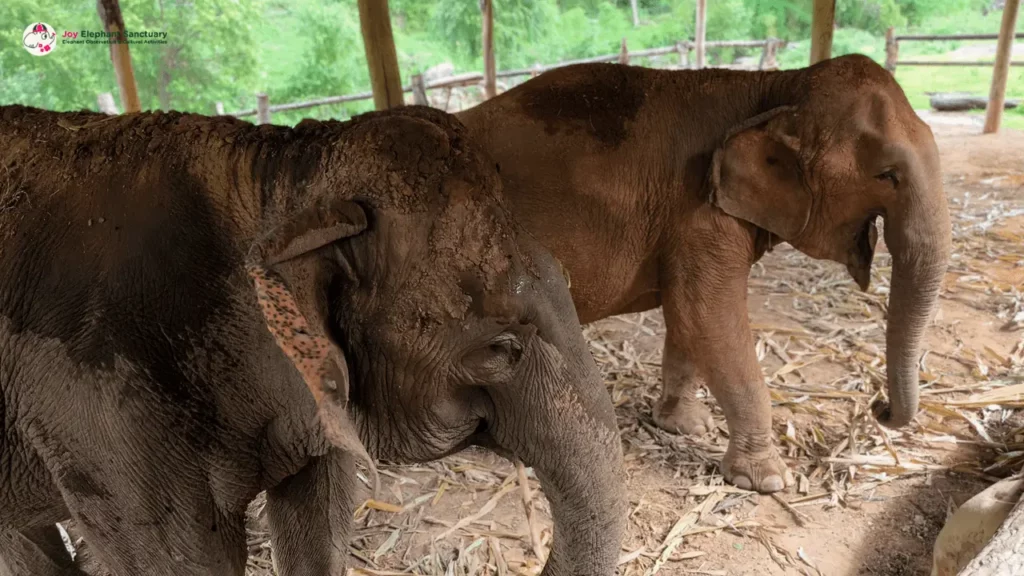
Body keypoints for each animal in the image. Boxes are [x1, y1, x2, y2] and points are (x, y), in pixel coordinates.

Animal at [457, 54, 952, 493]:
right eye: (887, 174)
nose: (878, 407)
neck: (775, 85)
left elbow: (687, 318)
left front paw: (683, 426)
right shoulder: (699, 212)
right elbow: (708, 314)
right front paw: (767, 482)